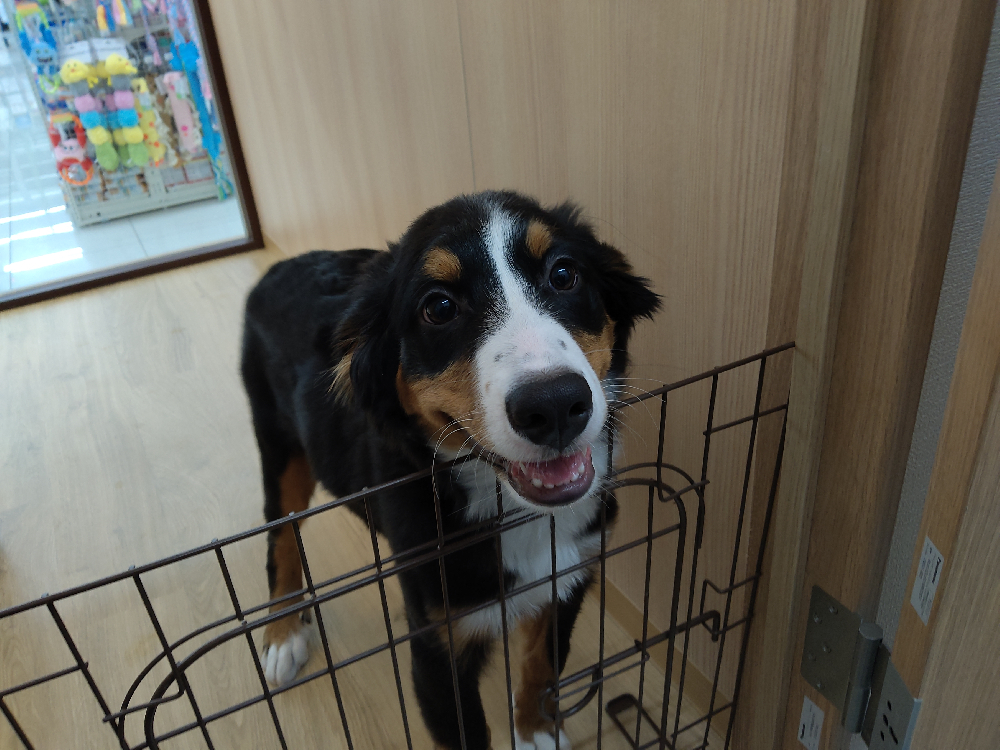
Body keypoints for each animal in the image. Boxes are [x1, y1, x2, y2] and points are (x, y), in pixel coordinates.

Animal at [241, 190, 659, 749]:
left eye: (564, 274)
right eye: (438, 308)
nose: (554, 404)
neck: (506, 506)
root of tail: (281, 266)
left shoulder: (571, 574)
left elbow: (542, 665)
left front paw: (535, 729)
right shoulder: (437, 646)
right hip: (278, 446)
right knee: (281, 538)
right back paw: (283, 633)